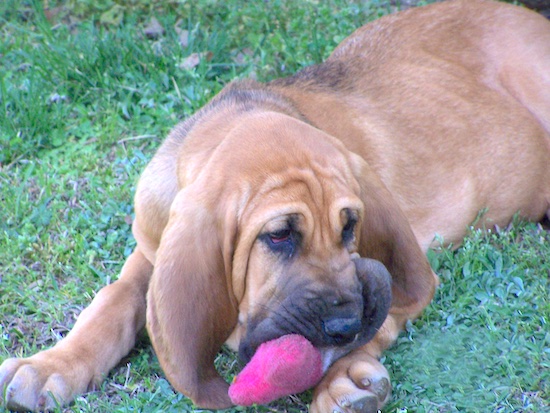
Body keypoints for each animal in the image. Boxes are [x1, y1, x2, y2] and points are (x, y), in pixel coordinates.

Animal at [1, 0, 550, 410]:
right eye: (279, 235)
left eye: (350, 227)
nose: (342, 327)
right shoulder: (154, 245)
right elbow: (114, 299)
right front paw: (49, 365)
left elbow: (386, 311)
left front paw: (346, 377)